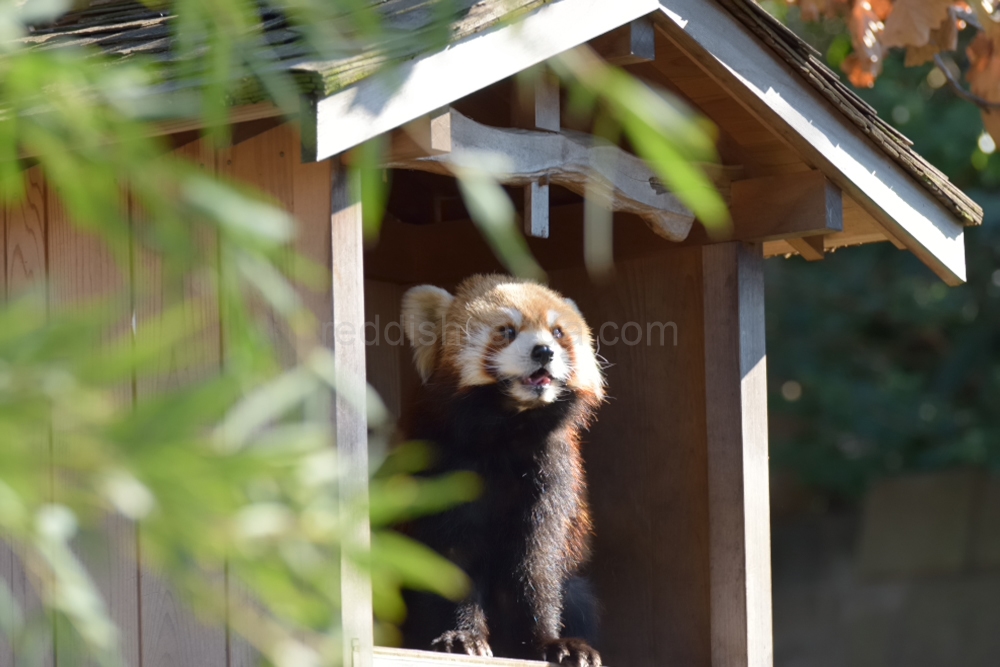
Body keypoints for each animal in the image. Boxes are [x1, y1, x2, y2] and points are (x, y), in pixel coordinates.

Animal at [396, 276, 600, 667]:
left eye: (557, 332)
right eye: (507, 331)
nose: (544, 352)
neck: (508, 428)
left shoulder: (550, 473)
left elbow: (536, 561)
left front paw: (550, 643)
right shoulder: (442, 466)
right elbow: (450, 556)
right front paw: (462, 637)